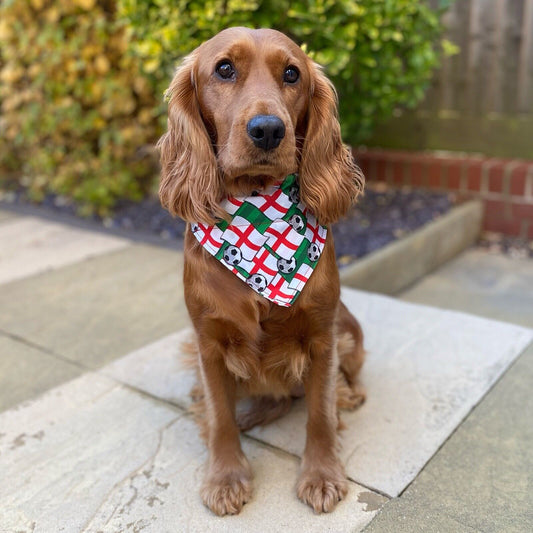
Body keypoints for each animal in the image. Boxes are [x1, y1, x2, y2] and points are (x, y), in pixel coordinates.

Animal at [158, 27, 366, 512]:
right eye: (224, 69)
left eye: (291, 74)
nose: (269, 129)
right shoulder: (208, 342)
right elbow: (220, 415)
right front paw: (225, 477)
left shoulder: (323, 336)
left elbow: (320, 413)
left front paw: (322, 474)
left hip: (350, 332)